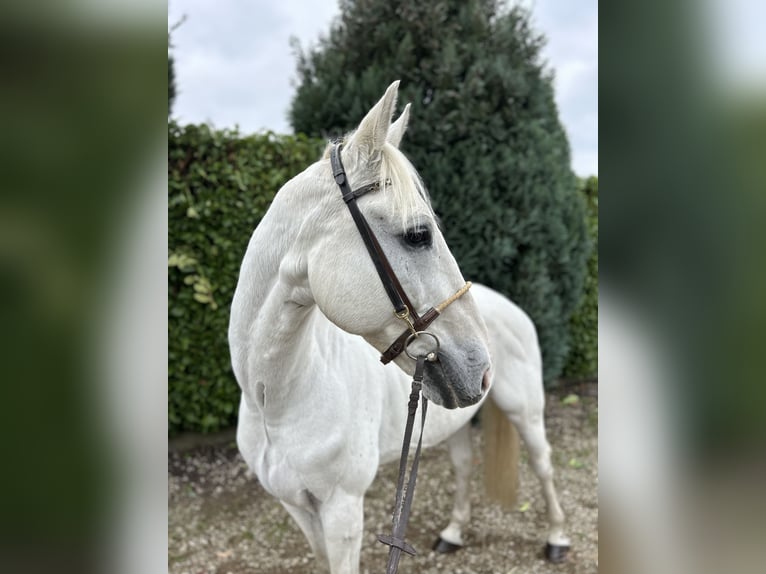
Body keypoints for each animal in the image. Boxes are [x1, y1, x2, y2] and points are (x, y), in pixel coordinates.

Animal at [228, 82, 568, 574]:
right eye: (418, 234)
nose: (482, 368)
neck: (276, 402)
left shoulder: (343, 510)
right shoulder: (298, 508)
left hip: (525, 408)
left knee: (543, 463)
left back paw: (557, 538)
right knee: (464, 464)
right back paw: (452, 534)